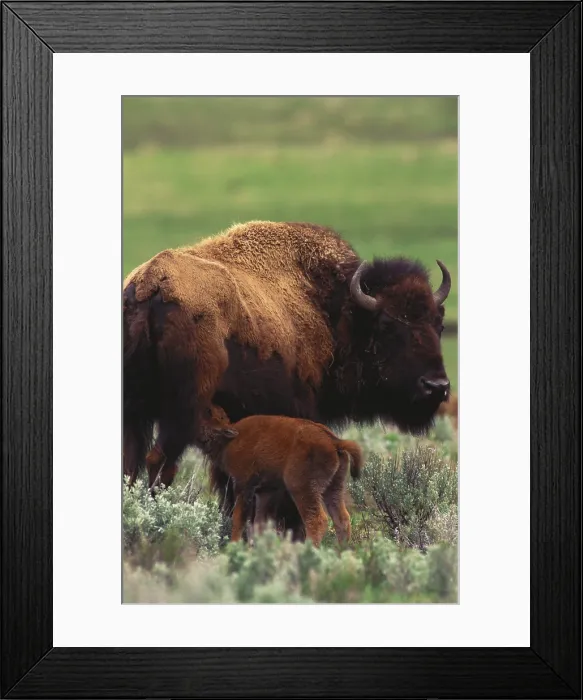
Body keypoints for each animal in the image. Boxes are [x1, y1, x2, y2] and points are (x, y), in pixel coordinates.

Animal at [194, 405, 363, 546]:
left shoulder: (243, 485)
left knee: (316, 520)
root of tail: (334, 441)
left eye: (208, 415)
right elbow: (259, 523)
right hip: (334, 487)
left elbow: (238, 519)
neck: (230, 439)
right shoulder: (265, 491)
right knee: (342, 519)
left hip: (302, 488)